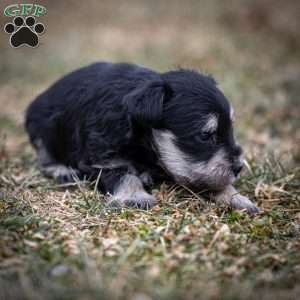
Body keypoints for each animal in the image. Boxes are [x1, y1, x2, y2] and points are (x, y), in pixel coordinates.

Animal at [25, 62, 260, 214]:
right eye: (205, 135)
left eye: (230, 129)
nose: (238, 167)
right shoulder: (103, 157)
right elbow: (124, 174)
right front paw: (135, 197)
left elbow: (212, 180)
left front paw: (237, 198)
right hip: (42, 129)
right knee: (46, 156)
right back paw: (62, 170)